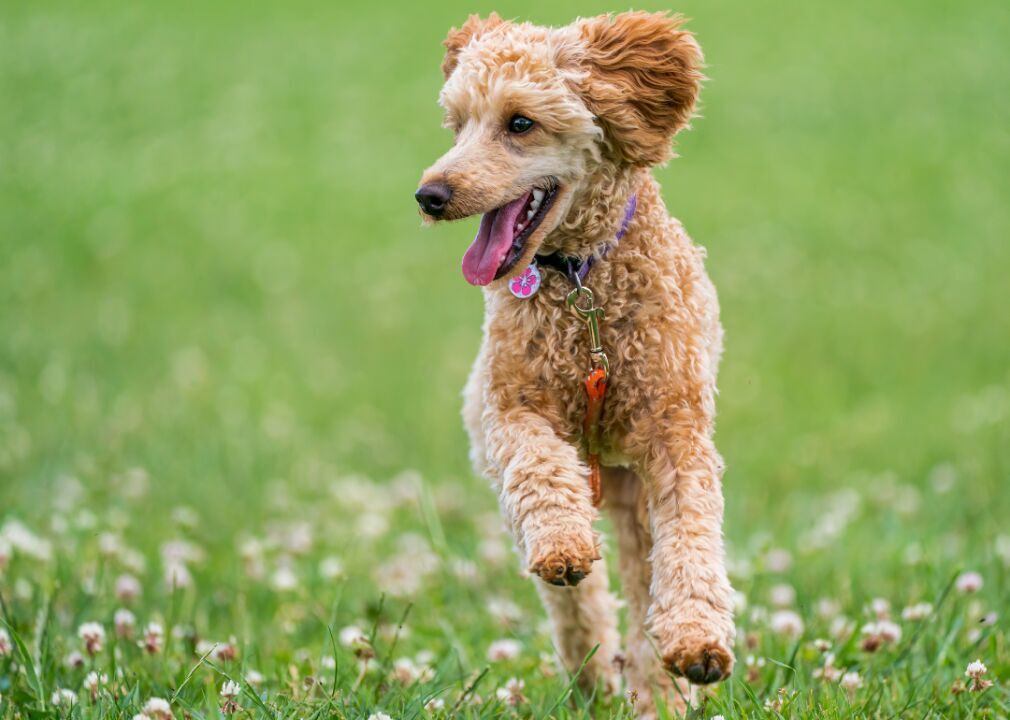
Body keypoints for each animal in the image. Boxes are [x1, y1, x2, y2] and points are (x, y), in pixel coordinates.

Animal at [414, 11, 739, 714]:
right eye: (458, 124)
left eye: (519, 123)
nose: (430, 194)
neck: (581, 285)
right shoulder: (510, 411)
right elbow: (539, 470)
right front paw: (564, 545)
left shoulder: (676, 435)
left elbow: (692, 536)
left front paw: (698, 641)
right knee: (576, 603)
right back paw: (594, 673)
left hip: (633, 489)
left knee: (644, 581)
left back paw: (658, 689)